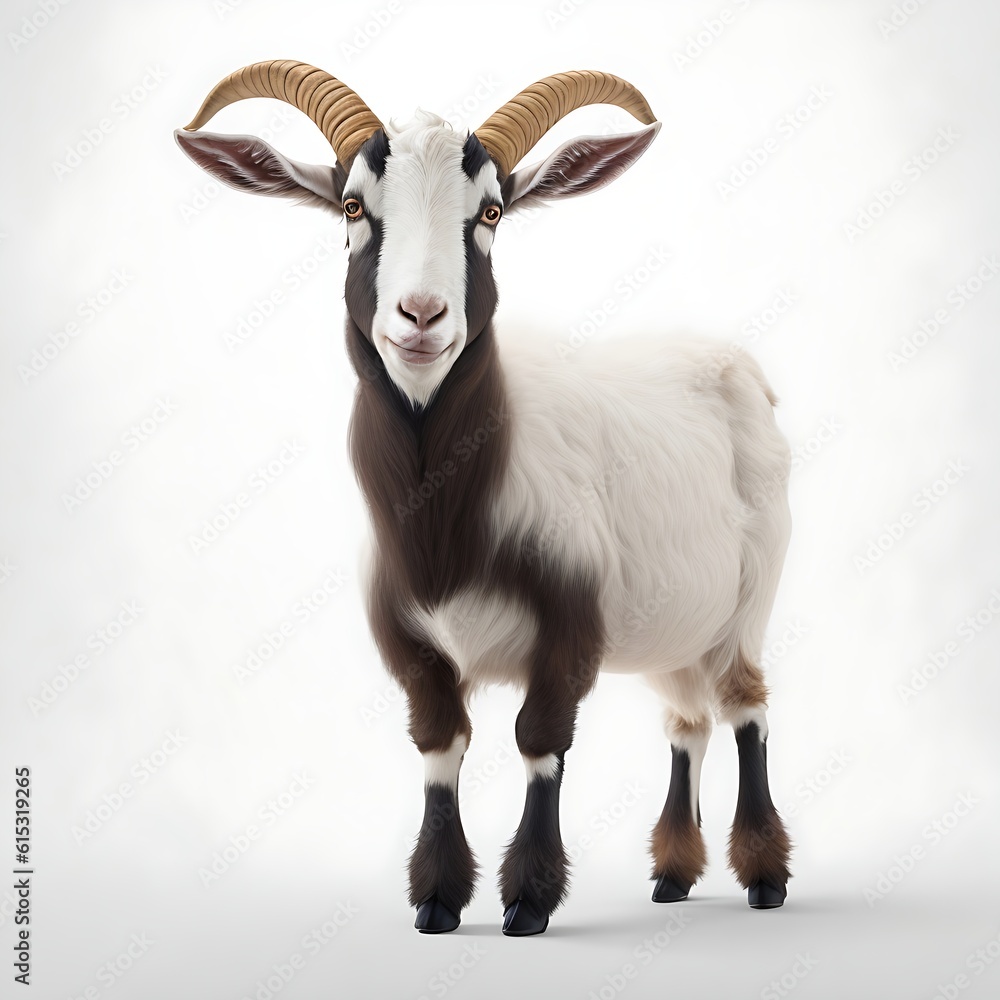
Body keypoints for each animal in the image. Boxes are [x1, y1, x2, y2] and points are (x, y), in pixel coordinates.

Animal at [175, 61, 793, 936]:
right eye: (354, 206)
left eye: (491, 212)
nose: (421, 315)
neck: (445, 524)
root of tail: (737, 367)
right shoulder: (411, 644)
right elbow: (440, 742)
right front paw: (436, 897)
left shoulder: (570, 628)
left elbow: (539, 739)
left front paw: (528, 899)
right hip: (670, 632)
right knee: (686, 722)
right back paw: (673, 875)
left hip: (746, 606)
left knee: (745, 709)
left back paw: (766, 878)